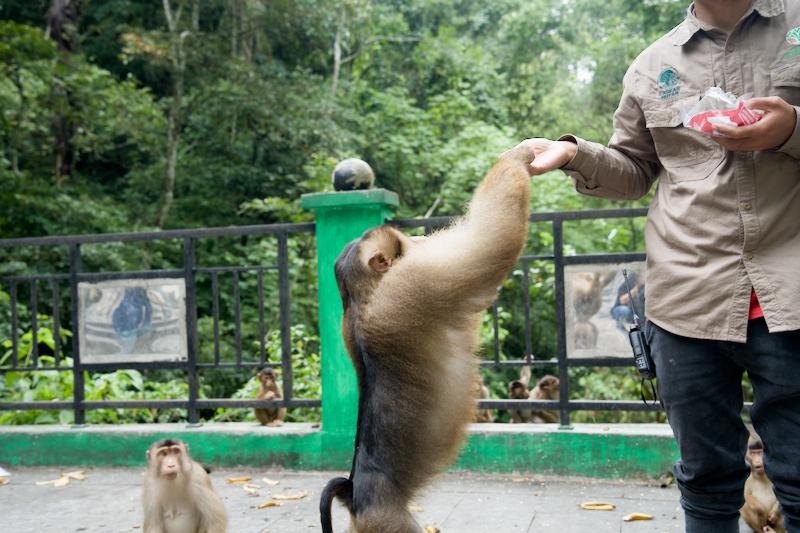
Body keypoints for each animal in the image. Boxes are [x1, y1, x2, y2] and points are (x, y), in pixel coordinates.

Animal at [319, 140, 533, 533]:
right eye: (408, 242)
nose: (419, 237)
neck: (360, 295)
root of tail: (355, 494)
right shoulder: (416, 282)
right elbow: (493, 241)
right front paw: (518, 156)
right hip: (388, 522)